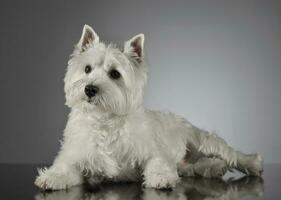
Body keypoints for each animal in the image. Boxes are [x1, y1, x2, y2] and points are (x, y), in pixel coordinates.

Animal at [35, 24, 262, 190]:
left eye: (115, 74)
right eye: (87, 69)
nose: (90, 89)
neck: (105, 121)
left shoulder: (151, 151)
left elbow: (158, 162)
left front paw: (160, 178)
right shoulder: (76, 155)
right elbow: (65, 167)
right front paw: (51, 177)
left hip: (202, 140)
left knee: (230, 154)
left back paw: (252, 163)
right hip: (191, 161)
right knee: (195, 166)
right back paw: (215, 167)